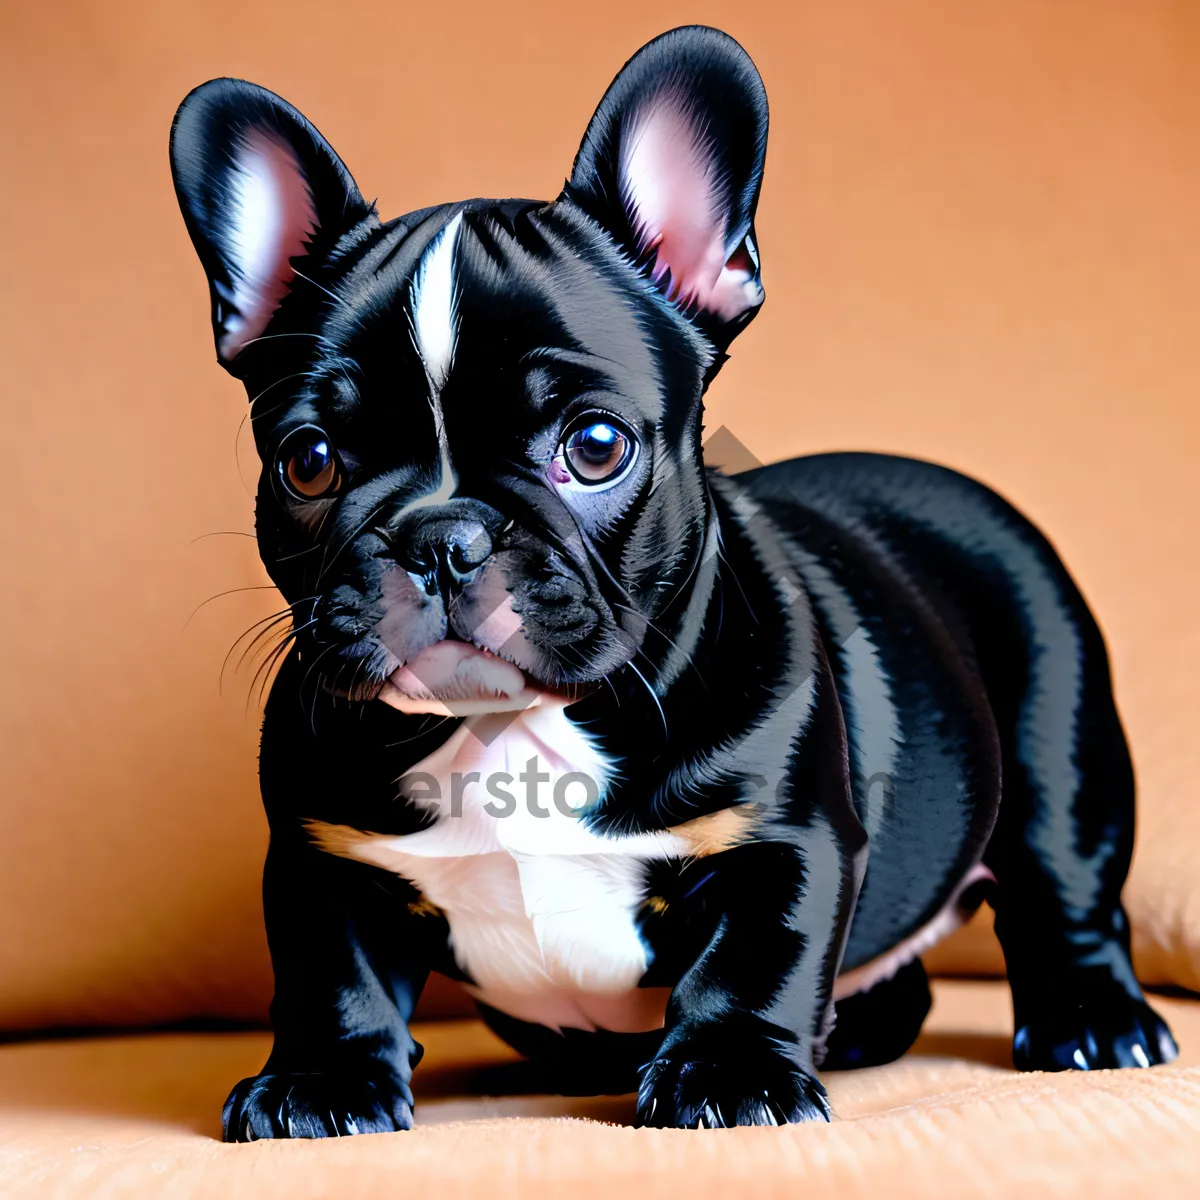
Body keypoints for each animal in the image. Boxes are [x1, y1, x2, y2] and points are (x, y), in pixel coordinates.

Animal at [171, 25, 1180, 1132]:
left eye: (596, 445)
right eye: (309, 462)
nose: (443, 537)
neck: (509, 727)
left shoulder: (781, 840)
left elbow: (753, 958)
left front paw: (730, 1074)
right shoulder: (323, 858)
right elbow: (330, 973)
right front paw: (321, 1081)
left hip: (1061, 751)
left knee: (1065, 893)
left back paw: (1095, 1022)